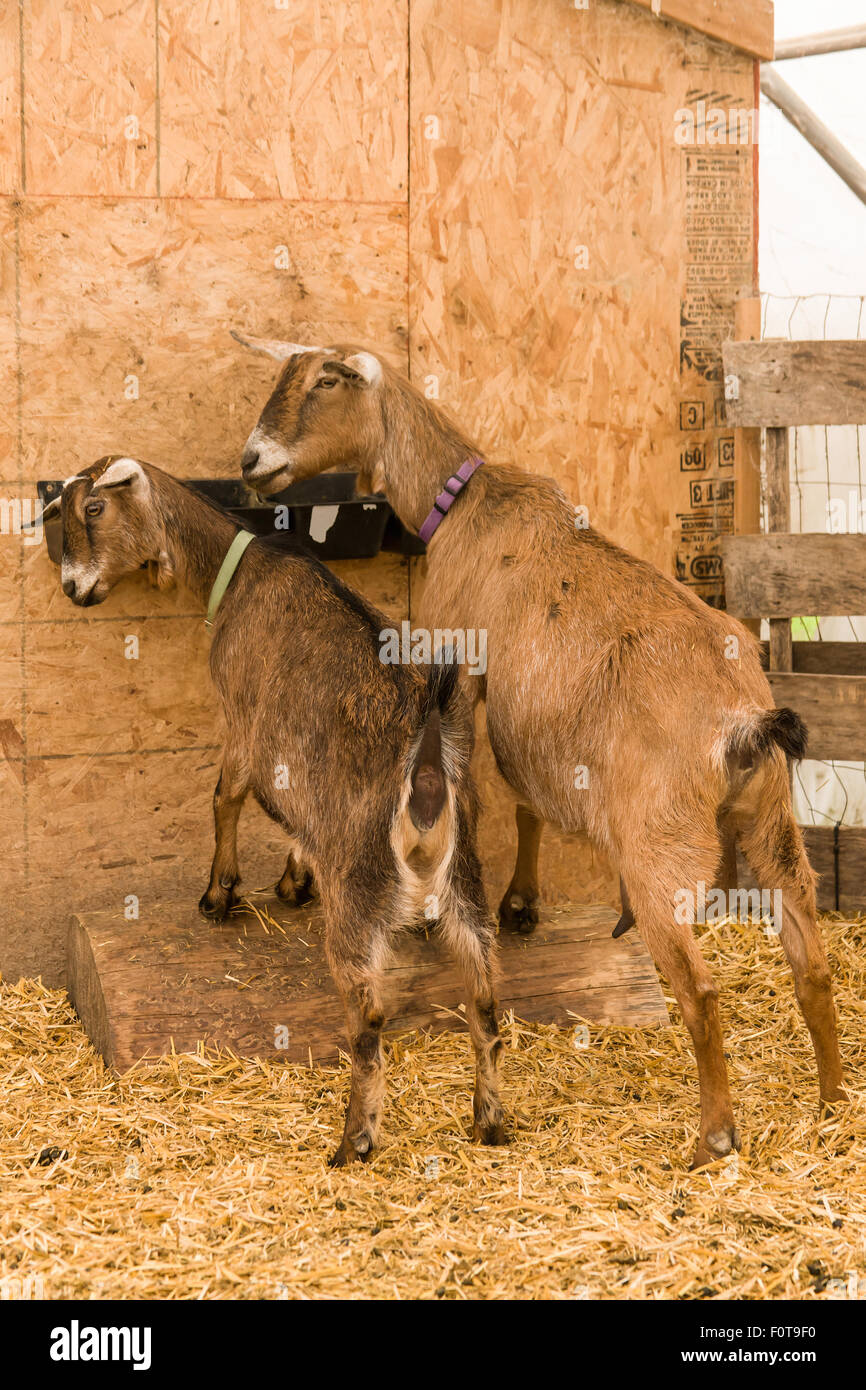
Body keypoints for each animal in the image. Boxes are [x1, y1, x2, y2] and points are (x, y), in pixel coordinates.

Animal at [48, 455, 506, 1166]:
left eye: (93, 509)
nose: (74, 587)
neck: (240, 571)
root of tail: (428, 767)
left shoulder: (243, 716)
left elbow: (225, 795)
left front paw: (218, 894)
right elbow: (292, 821)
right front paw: (293, 879)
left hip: (361, 894)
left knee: (370, 1020)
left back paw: (354, 1143)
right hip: (465, 882)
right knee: (484, 1001)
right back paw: (488, 1123)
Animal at [235, 334, 847, 1170]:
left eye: (326, 381)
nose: (251, 460)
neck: (462, 502)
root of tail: (742, 723)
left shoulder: (464, 668)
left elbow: (490, 785)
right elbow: (526, 802)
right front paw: (523, 900)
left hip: (657, 851)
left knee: (700, 990)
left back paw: (713, 1137)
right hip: (774, 822)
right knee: (812, 963)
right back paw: (832, 1104)